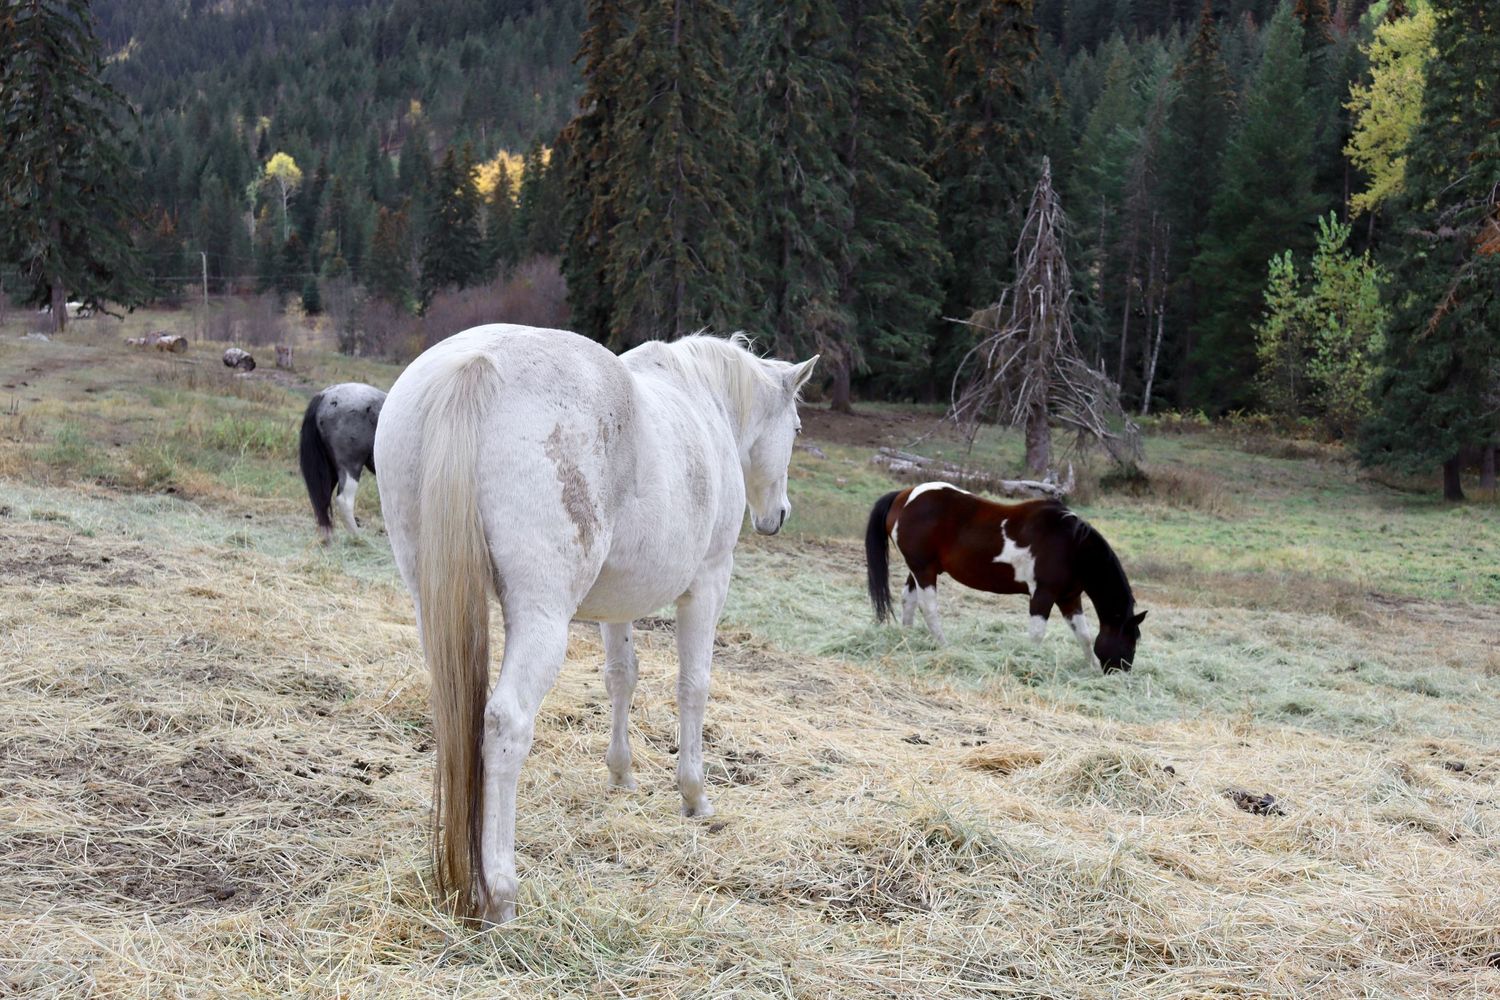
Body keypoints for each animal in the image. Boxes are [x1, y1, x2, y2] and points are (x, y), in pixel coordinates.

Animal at [298, 382, 386, 543]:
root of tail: (324, 395)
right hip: (350, 466)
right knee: (344, 500)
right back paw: (358, 538)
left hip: (330, 469)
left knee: (323, 501)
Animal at [373, 324, 817, 924]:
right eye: (795, 428)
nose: (778, 516)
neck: (703, 401)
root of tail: (478, 364)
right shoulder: (708, 584)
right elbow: (693, 686)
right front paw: (694, 795)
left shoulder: (617, 605)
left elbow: (621, 677)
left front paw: (621, 774)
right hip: (542, 617)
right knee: (506, 724)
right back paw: (501, 893)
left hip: (430, 600)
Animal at [864, 482, 1145, 672]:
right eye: (1131, 641)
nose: (1120, 672)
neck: (1071, 546)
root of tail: (904, 496)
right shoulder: (1042, 595)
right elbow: (1037, 634)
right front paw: (1029, 663)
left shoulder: (1069, 598)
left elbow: (1084, 635)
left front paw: (1092, 667)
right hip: (924, 570)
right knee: (929, 608)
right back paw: (944, 645)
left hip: (921, 570)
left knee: (908, 599)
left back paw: (907, 638)